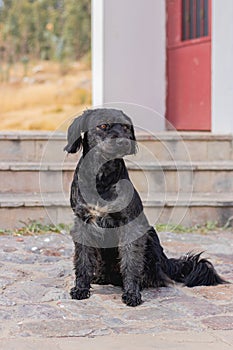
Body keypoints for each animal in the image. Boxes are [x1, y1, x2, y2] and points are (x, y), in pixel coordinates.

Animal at [63, 108, 226, 306]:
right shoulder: (83, 223)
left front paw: (132, 293)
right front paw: (81, 288)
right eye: (104, 125)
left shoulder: (130, 226)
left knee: (156, 276)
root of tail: (165, 262)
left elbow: (131, 262)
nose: (124, 142)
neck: (101, 178)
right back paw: (99, 277)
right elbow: (83, 261)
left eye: (126, 127)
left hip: (150, 237)